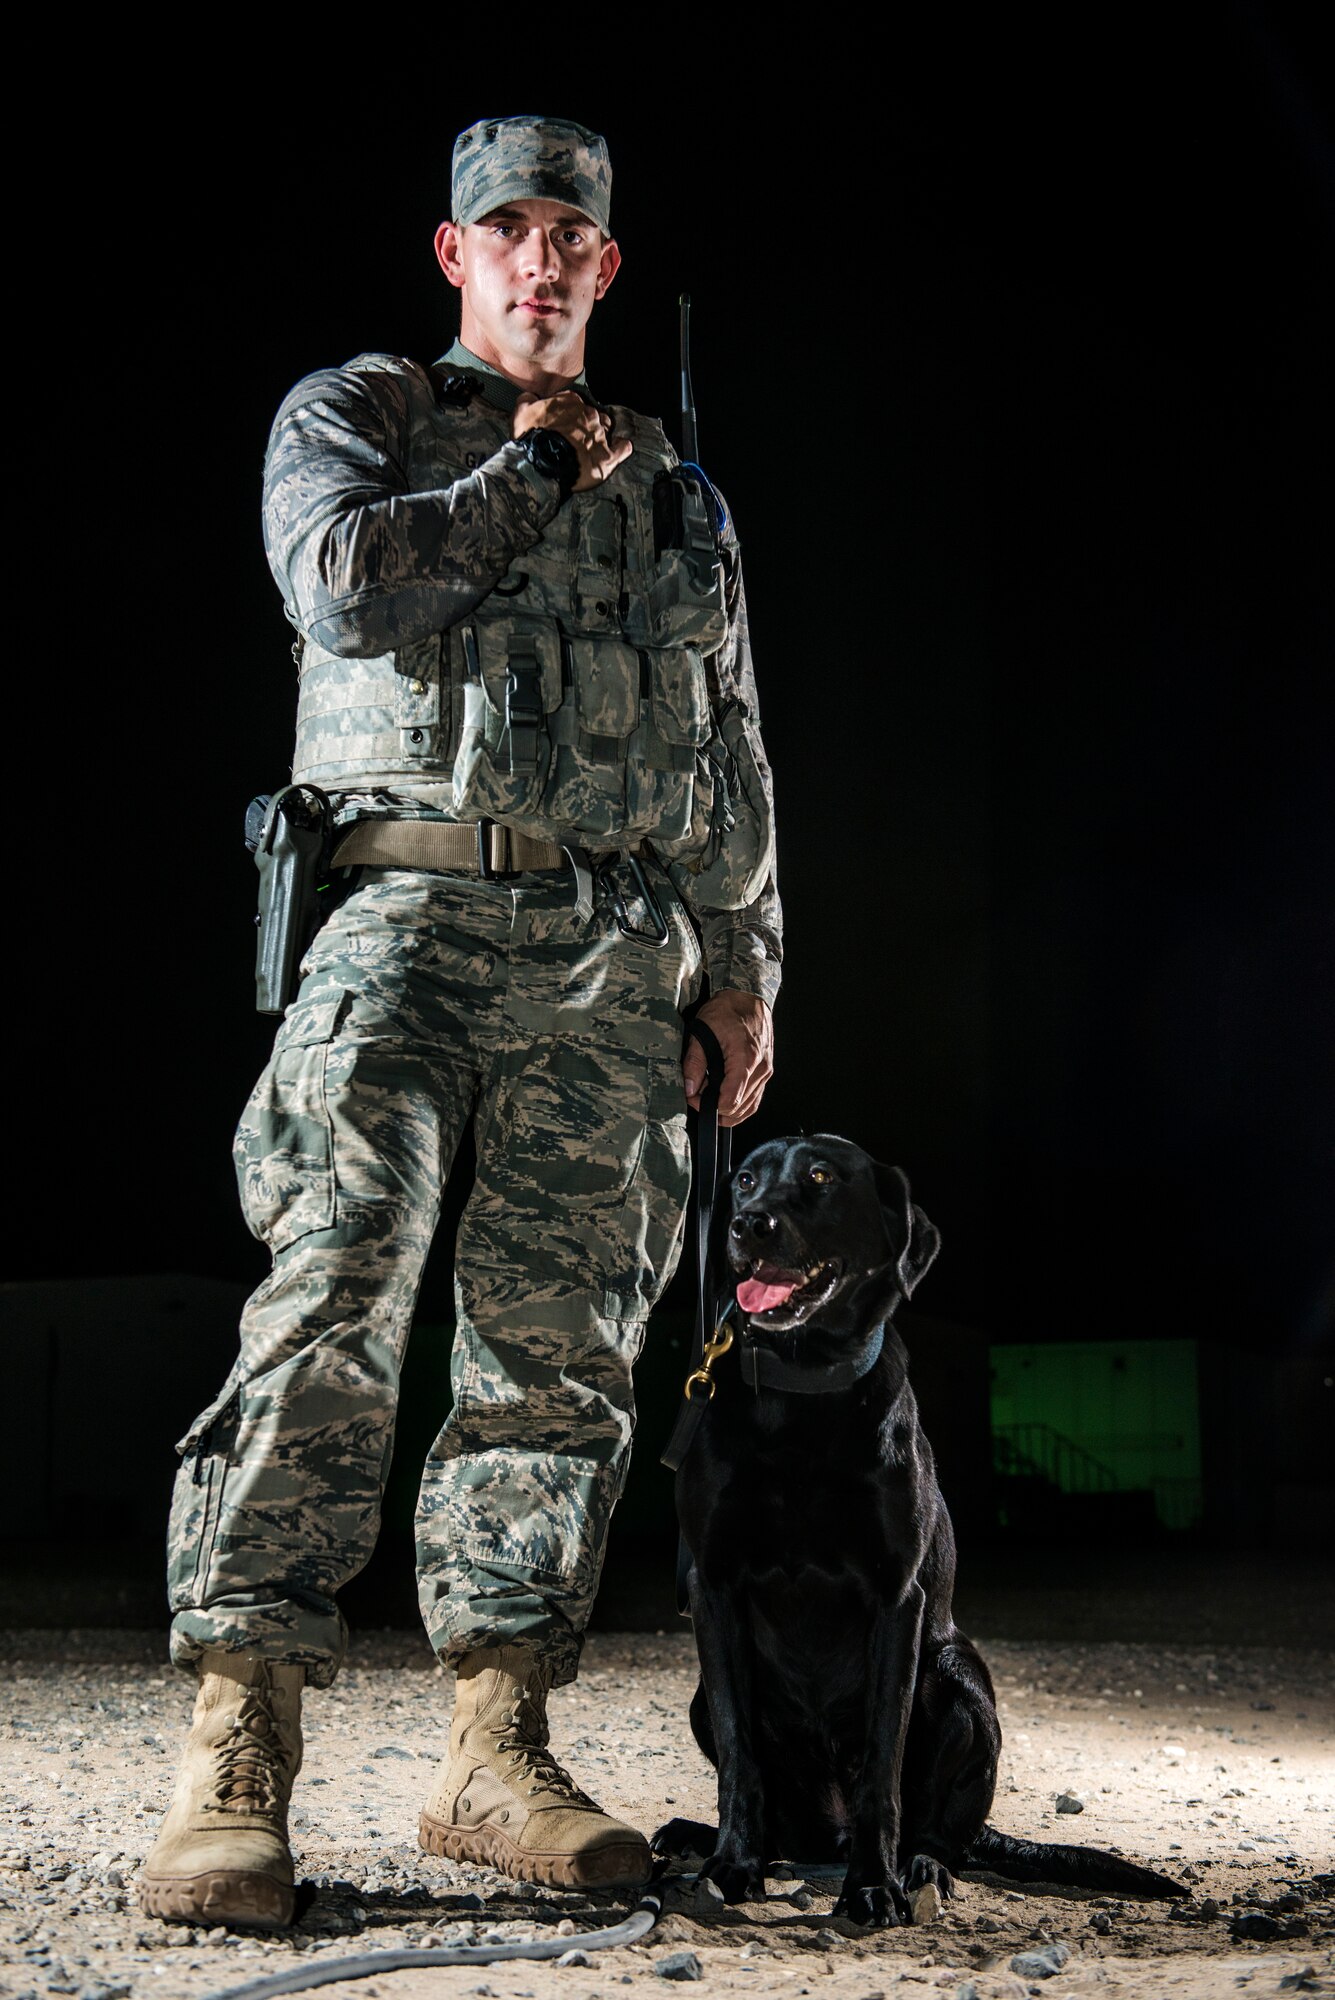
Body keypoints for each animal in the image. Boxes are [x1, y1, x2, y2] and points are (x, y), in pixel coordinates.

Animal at [655, 1136, 1175, 1928]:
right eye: (743, 1178)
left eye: (819, 1176)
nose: (747, 1224)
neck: (803, 1388)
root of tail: (826, 1832)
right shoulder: (711, 1588)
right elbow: (741, 1758)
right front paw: (731, 1866)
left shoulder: (895, 1599)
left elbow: (883, 1763)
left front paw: (873, 1886)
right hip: (702, 1704)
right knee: (779, 1815)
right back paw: (707, 1840)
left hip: (962, 1678)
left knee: (944, 1830)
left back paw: (922, 1867)